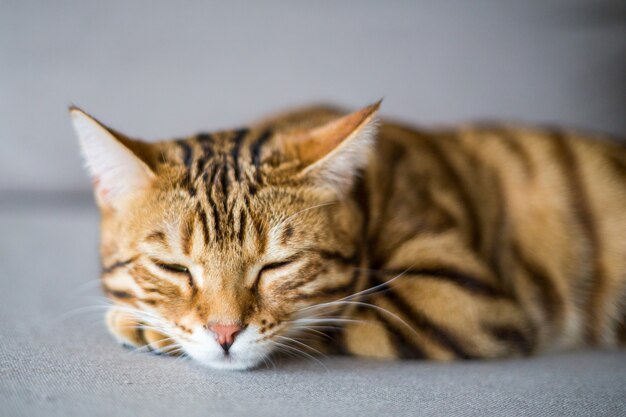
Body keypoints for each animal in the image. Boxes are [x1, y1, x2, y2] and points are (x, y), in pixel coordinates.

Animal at [70, 102, 624, 368]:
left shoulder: (462, 298)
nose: (225, 334)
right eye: (174, 268)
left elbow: (329, 320)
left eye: (277, 265)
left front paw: (142, 324)